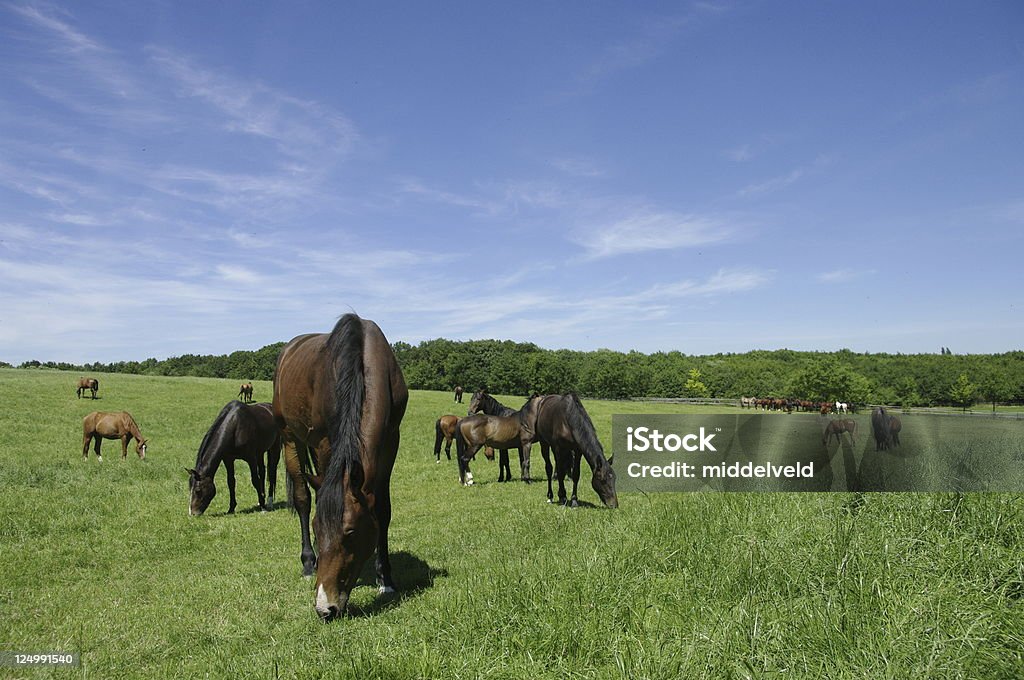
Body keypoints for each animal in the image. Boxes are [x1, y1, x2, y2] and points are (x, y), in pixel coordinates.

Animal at [272, 315, 407, 622]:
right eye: (317, 529)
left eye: (351, 532)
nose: (325, 608)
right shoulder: (325, 442)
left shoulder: (391, 440)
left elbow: (383, 510)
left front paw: (386, 580)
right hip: (290, 437)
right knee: (303, 497)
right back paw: (308, 563)